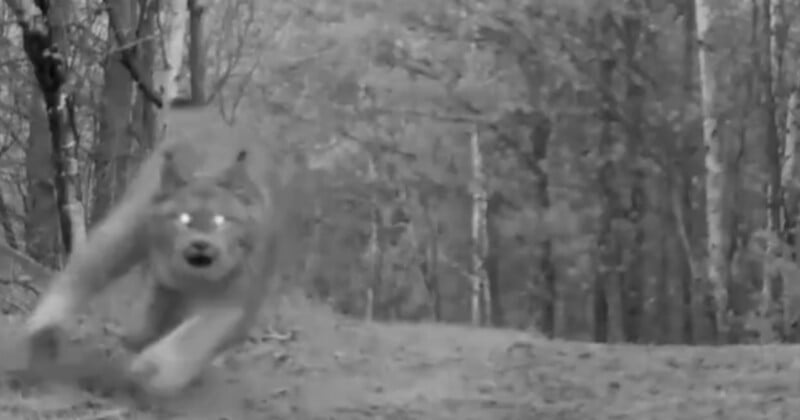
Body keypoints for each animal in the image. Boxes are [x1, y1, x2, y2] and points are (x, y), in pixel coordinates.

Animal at [23, 124, 278, 397]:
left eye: (221, 220)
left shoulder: (235, 299)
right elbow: (84, 273)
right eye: (183, 218)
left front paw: (150, 369)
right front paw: (43, 327)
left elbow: (195, 336)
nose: (200, 244)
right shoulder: (124, 234)